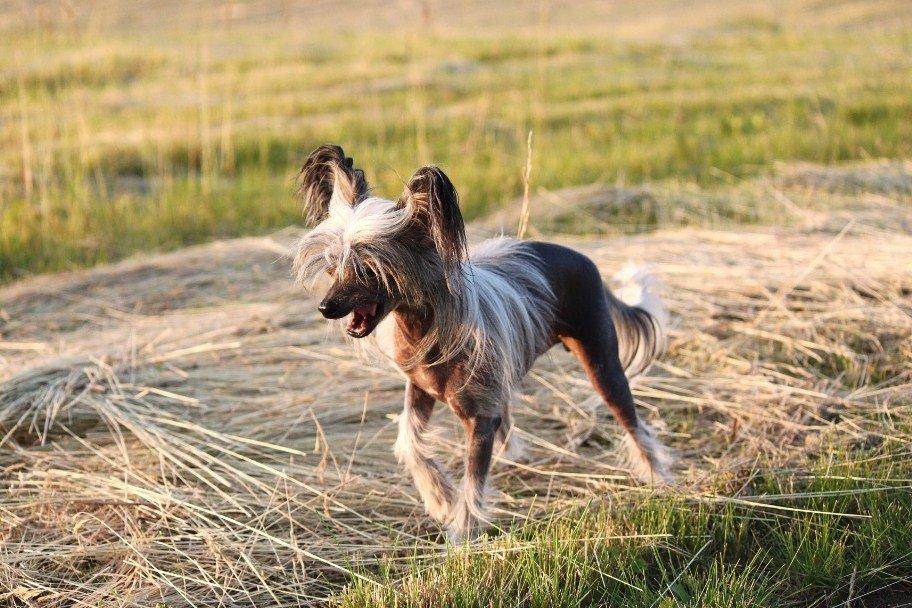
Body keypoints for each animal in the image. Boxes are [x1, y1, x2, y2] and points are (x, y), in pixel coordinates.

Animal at [292, 144, 668, 540]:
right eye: (333, 267)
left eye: (368, 270)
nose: (325, 307)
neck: (424, 327)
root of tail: (586, 260)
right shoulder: (420, 389)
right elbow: (410, 440)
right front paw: (440, 497)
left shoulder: (480, 418)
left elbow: (473, 482)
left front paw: (463, 531)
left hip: (601, 364)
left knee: (634, 423)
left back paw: (659, 479)